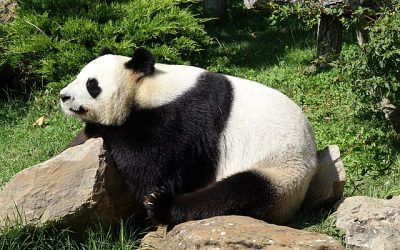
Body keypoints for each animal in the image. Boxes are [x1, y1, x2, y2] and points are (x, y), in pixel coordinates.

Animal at [59, 46, 318, 225]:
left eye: (92, 85)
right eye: (78, 76)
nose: (63, 96)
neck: (148, 87)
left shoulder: (185, 117)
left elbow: (152, 166)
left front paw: (99, 128)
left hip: (281, 171)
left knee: (235, 194)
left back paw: (162, 206)